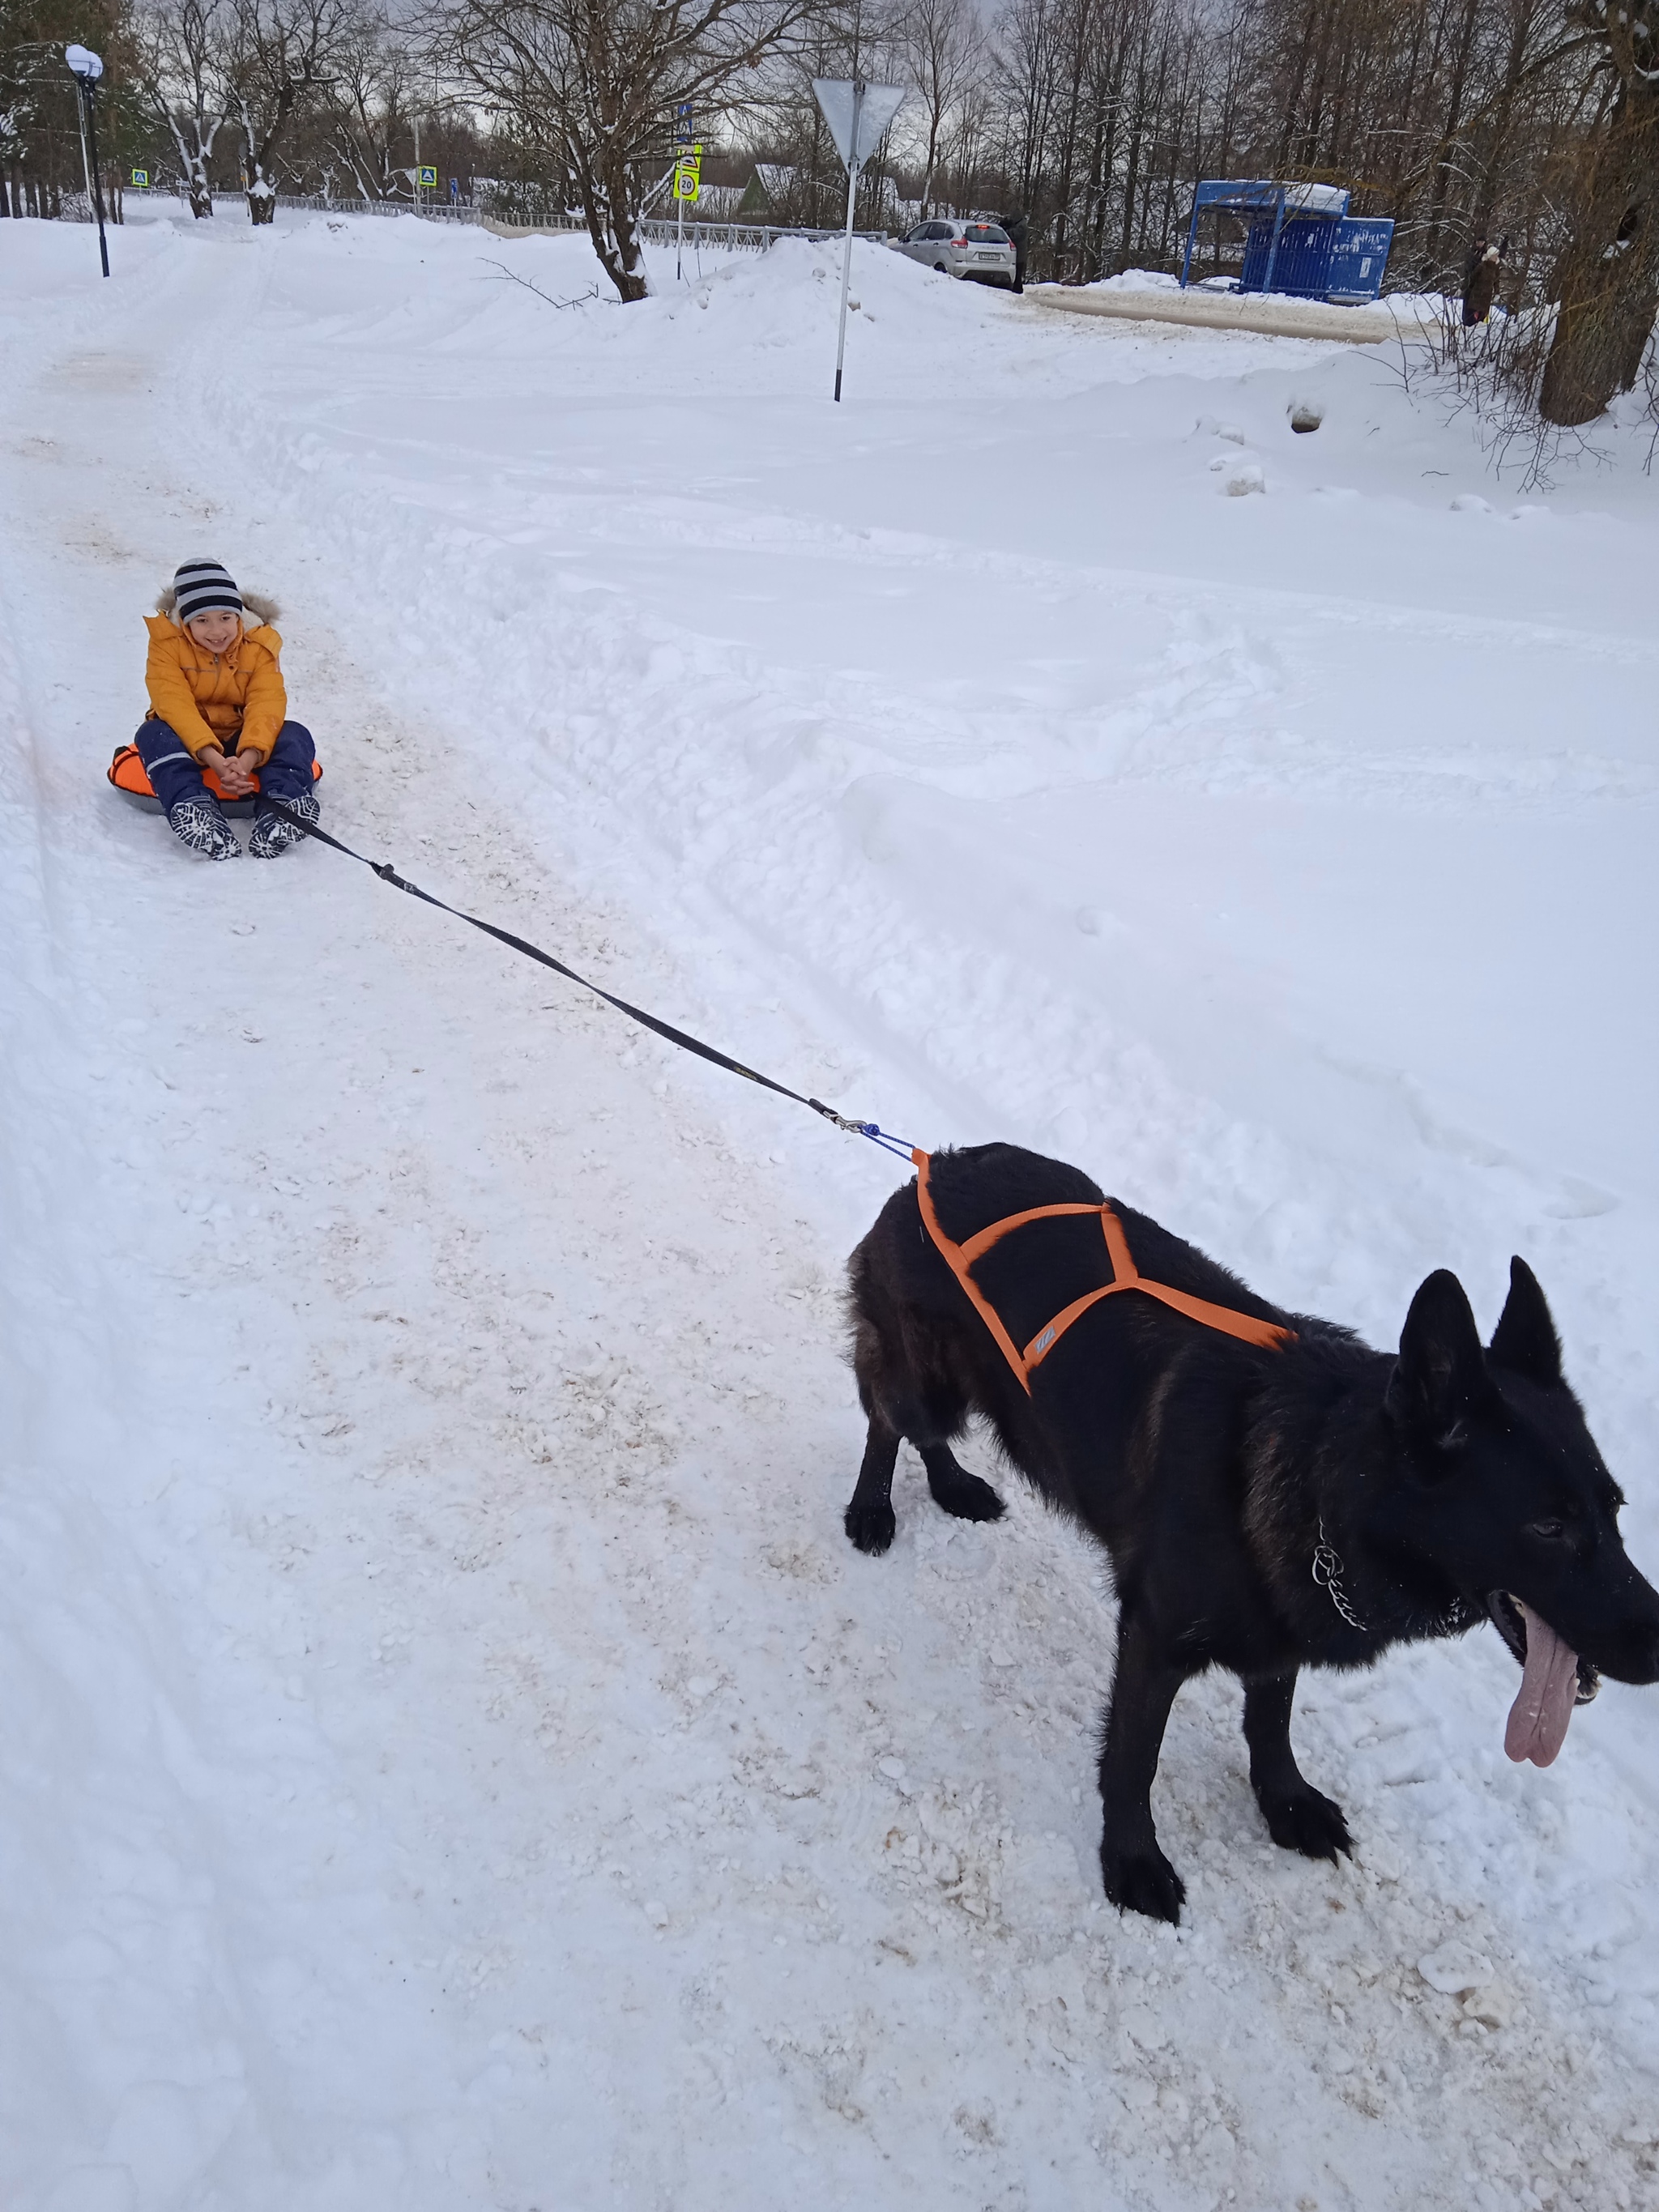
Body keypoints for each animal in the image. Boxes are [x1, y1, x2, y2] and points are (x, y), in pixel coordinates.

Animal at [849, 1150, 1654, 1929]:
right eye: (1549, 1526)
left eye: (1615, 1510)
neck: (1325, 1475)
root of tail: (928, 1167)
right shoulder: (1155, 1637)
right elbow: (1135, 1757)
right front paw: (1132, 1858)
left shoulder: (1283, 1620)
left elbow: (1271, 1721)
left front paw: (1285, 1800)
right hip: (927, 1385)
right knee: (890, 1421)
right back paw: (874, 1507)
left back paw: (954, 1485)